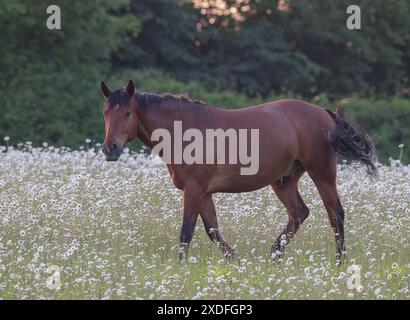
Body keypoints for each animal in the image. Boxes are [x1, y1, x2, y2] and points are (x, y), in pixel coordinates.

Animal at [101, 80, 376, 264]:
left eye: (127, 113)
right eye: (106, 113)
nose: (109, 149)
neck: (184, 131)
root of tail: (326, 115)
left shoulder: (194, 190)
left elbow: (186, 232)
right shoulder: (203, 193)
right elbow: (212, 230)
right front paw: (234, 258)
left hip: (322, 173)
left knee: (335, 214)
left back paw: (339, 262)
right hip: (283, 181)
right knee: (299, 213)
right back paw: (275, 254)